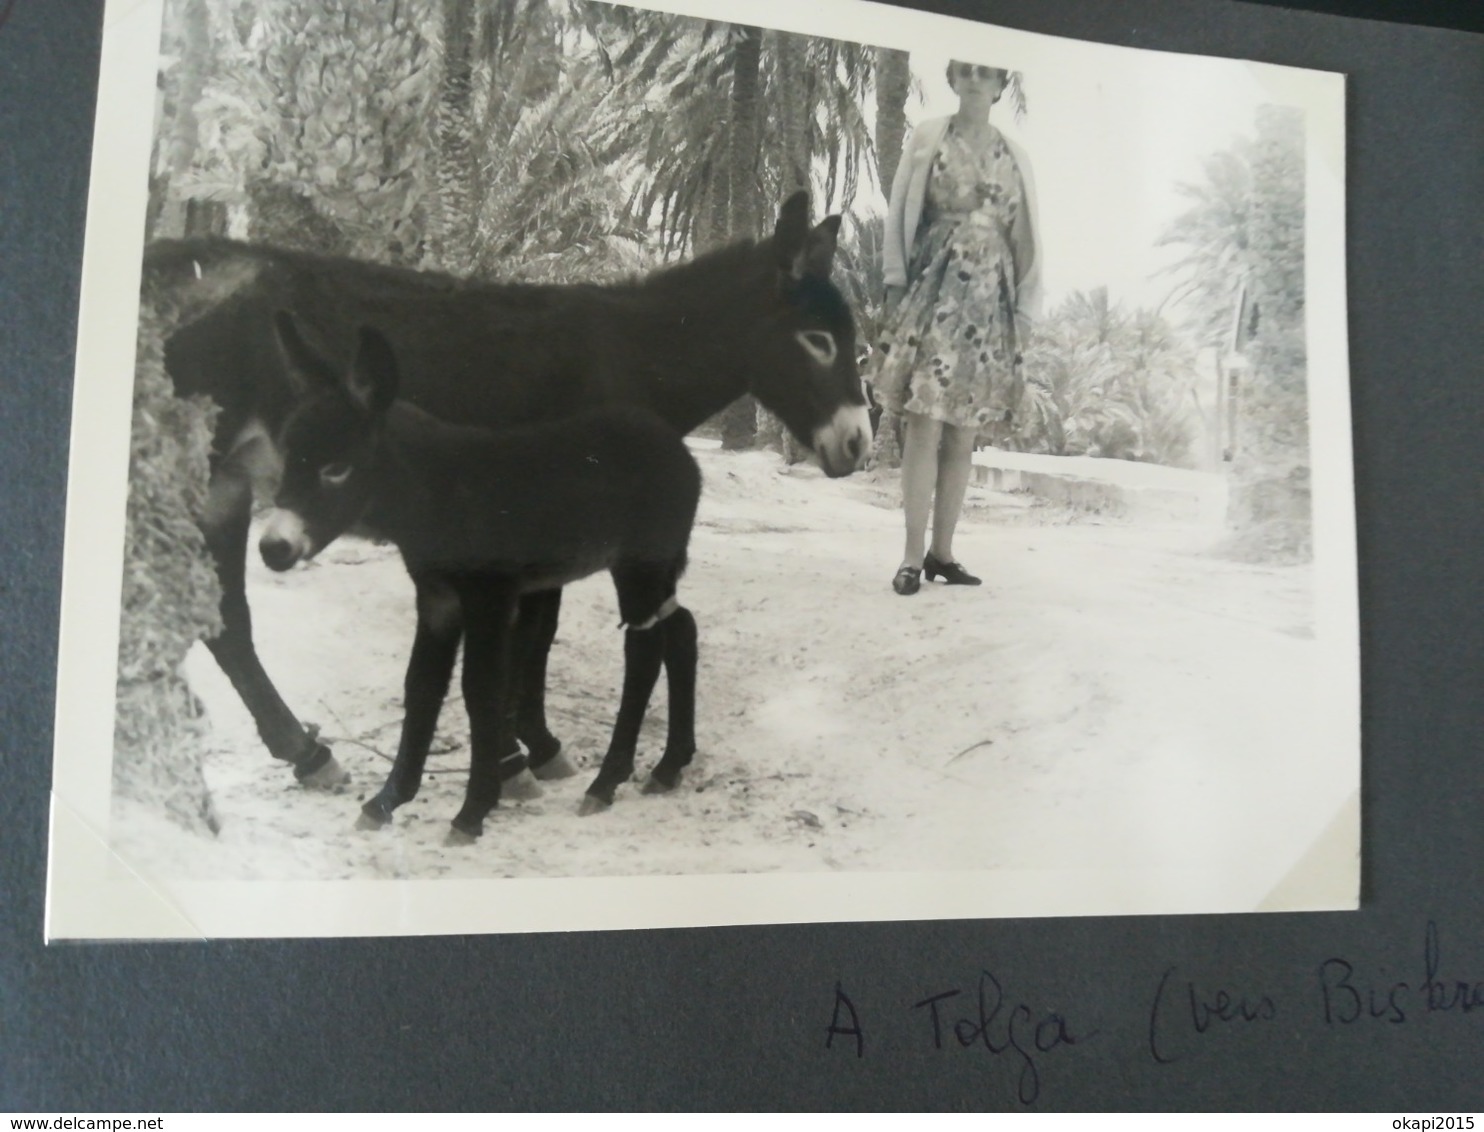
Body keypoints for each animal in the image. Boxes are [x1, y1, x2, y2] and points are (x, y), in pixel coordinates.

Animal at [259, 311, 700, 842]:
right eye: (287, 458)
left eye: (337, 468)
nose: (273, 549)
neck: (436, 493)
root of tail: (681, 452)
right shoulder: (437, 598)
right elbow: (421, 686)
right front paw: (386, 801)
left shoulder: (489, 596)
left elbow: (480, 688)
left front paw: (473, 810)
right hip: (655, 565)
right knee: (680, 629)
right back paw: (668, 767)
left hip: (639, 560)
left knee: (644, 647)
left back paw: (607, 781)